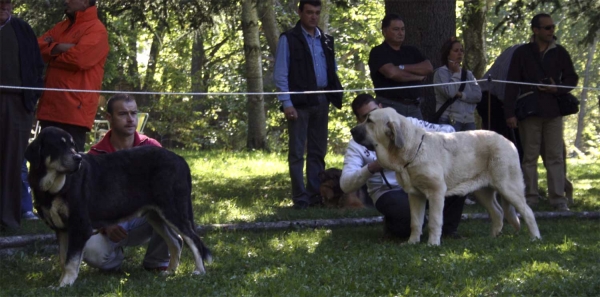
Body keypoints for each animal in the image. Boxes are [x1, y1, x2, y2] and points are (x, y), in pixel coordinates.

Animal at [25, 126, 211, 286]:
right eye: (58, 146)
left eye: (72, 146)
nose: (78, 158)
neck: (55, 186)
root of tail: (180, 159)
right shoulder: (62, 229)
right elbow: (64, 259)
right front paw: (63, 282)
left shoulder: (80, 226)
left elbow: (71, 260)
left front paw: (64, 284)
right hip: (156, 215)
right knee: (176, 242)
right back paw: (170, 272)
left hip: (173, 210)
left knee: (193, 240)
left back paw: (199, 271)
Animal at [352, 107, 544, 244]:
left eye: (369, 120)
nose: (352, 131)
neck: (412, 150)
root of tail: (509, 142)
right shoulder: (415, 196)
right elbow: (415, 222)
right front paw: (412, 242)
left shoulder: (436, 192)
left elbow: (434, 221)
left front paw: (432, 244)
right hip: (483, 192)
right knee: (498, 212)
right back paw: (493, 237)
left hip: (508, 187)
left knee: (527, 212)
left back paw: (535, 238)